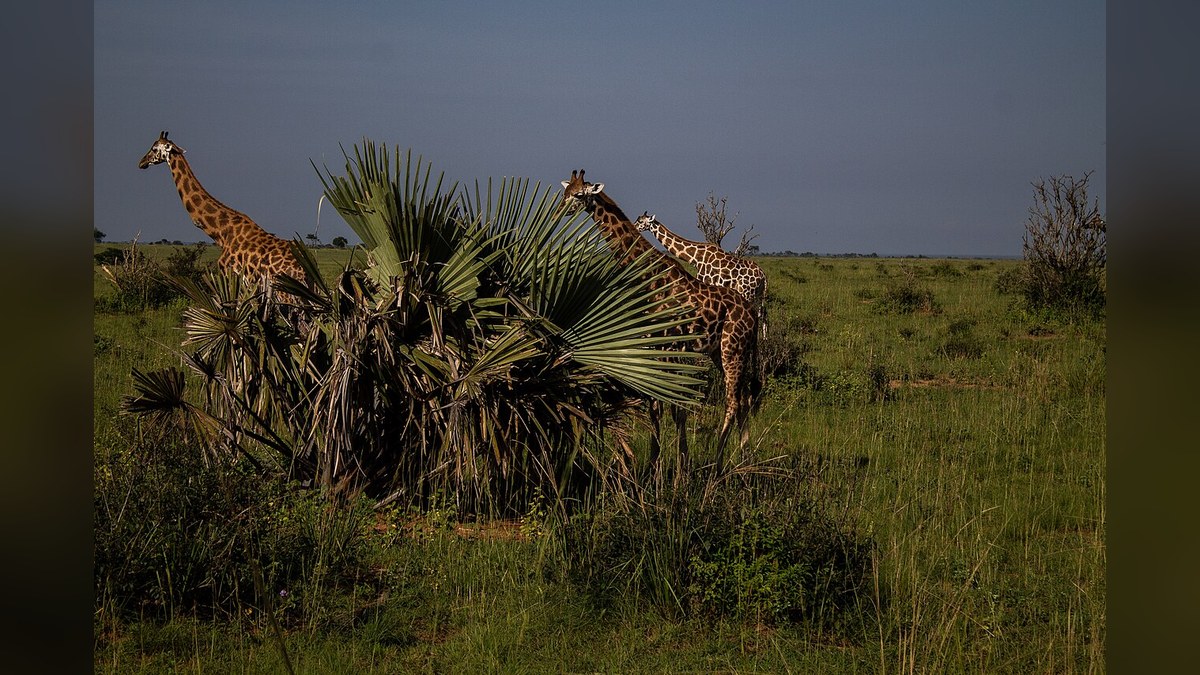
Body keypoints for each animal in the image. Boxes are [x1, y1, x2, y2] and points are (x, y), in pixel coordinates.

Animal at [634, 211, 768, 335]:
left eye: (640, 221)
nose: (634, 227)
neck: (696, 258)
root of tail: (763, 276)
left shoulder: (704, 281)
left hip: (748, 293)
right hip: (759, 295)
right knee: (763, 316)